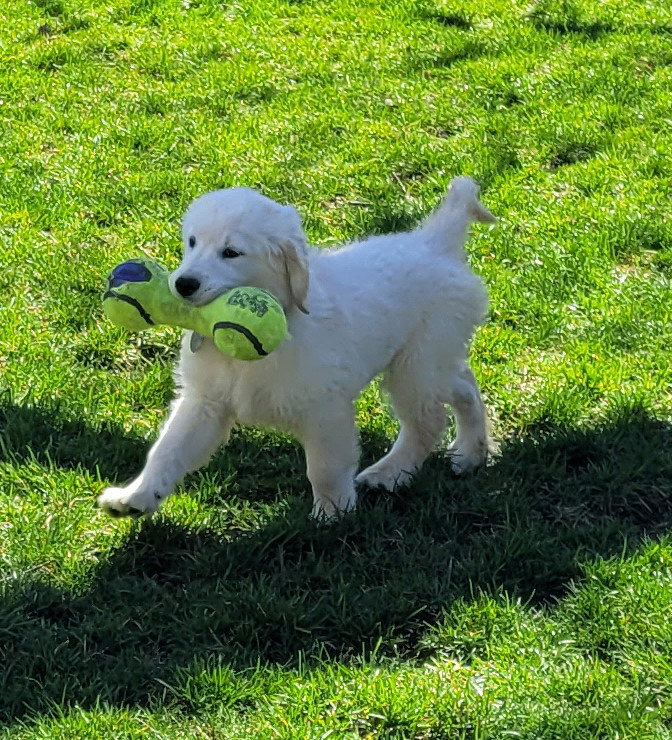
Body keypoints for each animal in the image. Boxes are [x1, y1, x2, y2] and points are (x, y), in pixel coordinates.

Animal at [101, 176, 498, 516]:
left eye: (231, 252)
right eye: (192, 242)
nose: (183, 284)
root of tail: (433, 242)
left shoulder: (325, 408)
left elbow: (324, 468)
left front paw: (331, 516)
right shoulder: (206, 401)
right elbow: (168, 449)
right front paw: (135, 497)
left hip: (415, 365)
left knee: (427, 421)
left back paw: (390, 473)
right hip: (431, 358)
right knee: (463, 386)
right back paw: (470, 452)